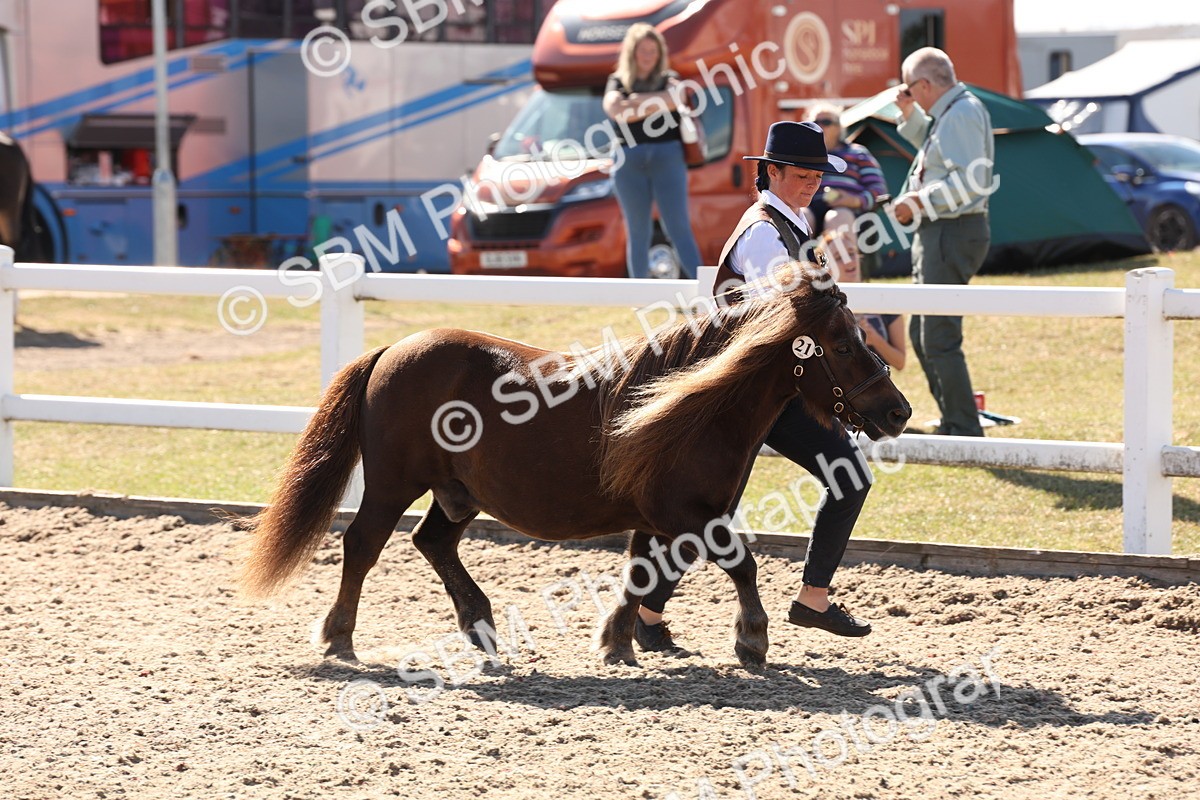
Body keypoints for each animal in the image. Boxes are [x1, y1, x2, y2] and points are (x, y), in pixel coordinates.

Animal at [241, 264, 911, 667]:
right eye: (844, 343)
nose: (899, 410)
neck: (695, 404)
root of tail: (390, 351)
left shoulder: (658, 520)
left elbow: (641, 576)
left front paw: (618, 642)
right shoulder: (690, 515)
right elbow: (741, 565)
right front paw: (751, 638)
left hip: (458, 493)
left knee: (432, 543)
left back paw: (482, 629)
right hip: (391, 484)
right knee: (362, 545)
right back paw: (340, 637)